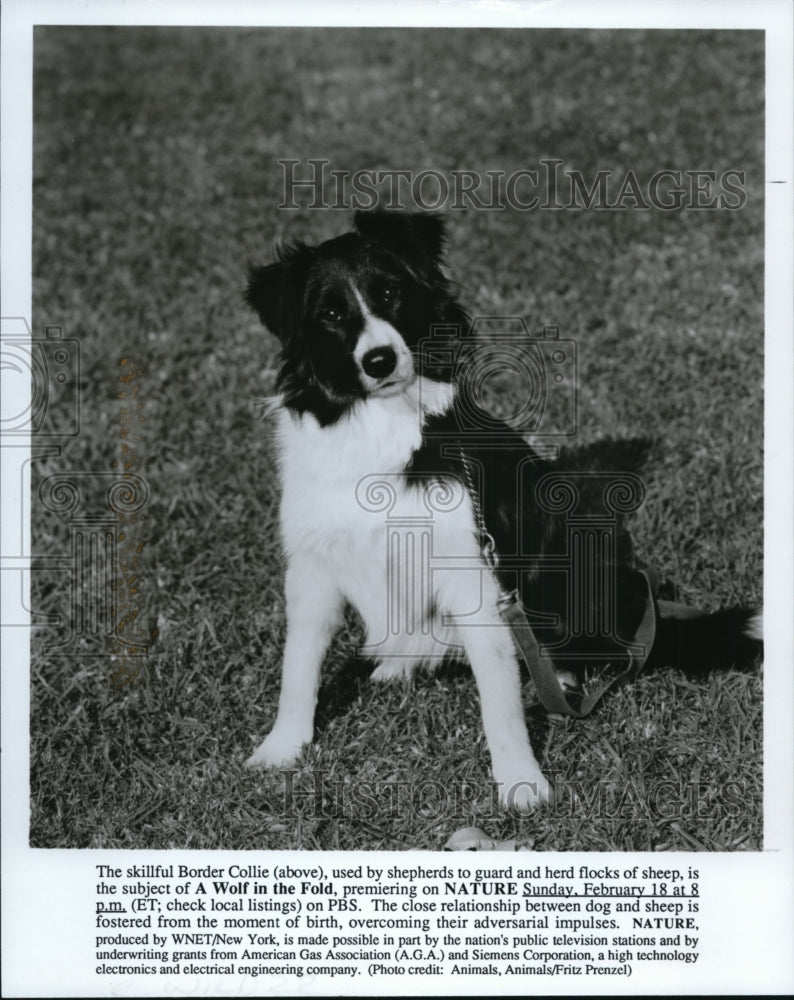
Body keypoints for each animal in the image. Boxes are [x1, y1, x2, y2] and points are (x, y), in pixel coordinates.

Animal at [243, 211, 760, 812]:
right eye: (330, 313)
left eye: (390, 292)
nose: (380, 360)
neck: (378, 425)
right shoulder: (312, 568)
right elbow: (298, 666)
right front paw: (282, 749)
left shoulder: (475, 574)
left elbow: (500, 695)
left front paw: (520, 780)